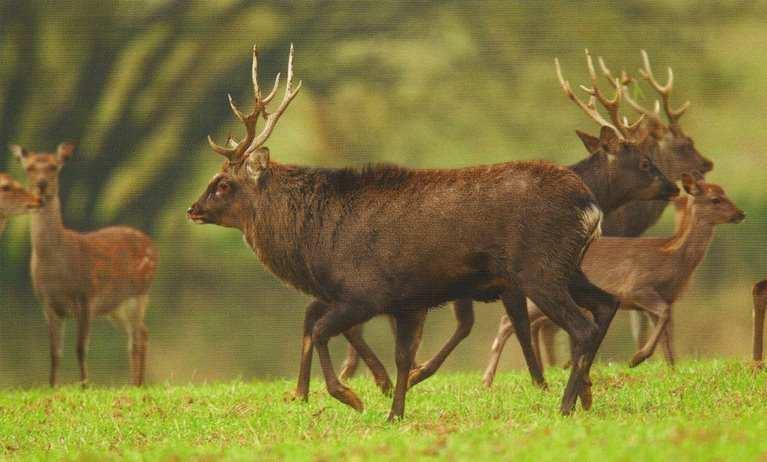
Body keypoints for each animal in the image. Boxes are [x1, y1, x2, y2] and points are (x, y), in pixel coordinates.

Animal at [10, 143, 158, 386]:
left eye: (54, 166)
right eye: (29, 167)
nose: (41, 184)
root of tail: (152, 244)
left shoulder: (86, 296)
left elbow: (80, 348)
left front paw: (84, 385)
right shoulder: (46, 303)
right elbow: (54, 352)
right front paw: (52, 386)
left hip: (139, 293)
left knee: (136, 338)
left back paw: (136, 384)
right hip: (116, 306)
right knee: (142, 333)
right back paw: (136, 382)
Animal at [189, 46, 620, 418]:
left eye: (223, 184)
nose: (192, 209)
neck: (317, 243)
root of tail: (590, 206)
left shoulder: (364, 293)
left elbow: (324, 331)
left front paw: (351, 397)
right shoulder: (407, 301)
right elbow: (401, 357)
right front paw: (394, 413)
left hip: (539, 269)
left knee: (583, 325)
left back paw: (566, 404)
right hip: (568, 267)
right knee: (607, 303)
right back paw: (586, 397)